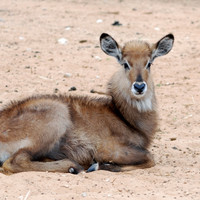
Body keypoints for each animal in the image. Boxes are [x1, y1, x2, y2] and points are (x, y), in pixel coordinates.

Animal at [0, 32, 173, 173]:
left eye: (149, 63)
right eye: (125, 64)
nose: (139, 86)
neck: (124, 116)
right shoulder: (108, 149)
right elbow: (150, 158)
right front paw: (101, 165)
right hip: (57, 115)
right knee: (14, 162)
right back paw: (73, 167)